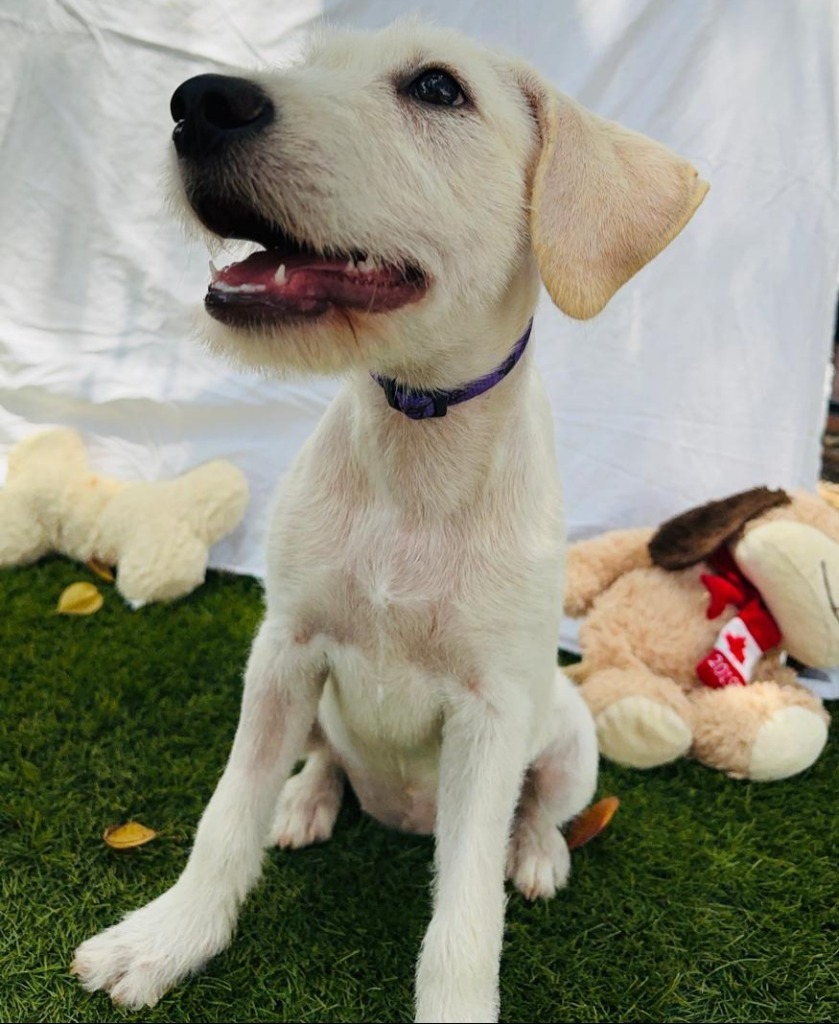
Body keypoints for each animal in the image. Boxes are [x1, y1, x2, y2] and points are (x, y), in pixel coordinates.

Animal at [72, 19, 708, 1019]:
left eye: (438, 89)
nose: (198, 102)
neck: (416, 440)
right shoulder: (283, 650)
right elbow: (226, 815)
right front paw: (166, 939)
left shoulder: (490, 717)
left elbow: (464, 918)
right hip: (315, 703)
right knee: (327, 759)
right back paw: (307, 798)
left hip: (567, 738)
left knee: (538, 807)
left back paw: (536, 852)